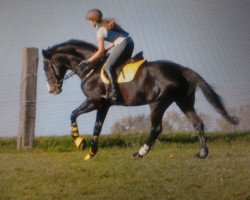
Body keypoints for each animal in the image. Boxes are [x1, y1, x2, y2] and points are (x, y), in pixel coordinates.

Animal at [41, 39, 238, 160]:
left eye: (45, 67)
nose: (52, 90)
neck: (91, 68)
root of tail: (181, 69)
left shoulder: (94, 101)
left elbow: (73, 114)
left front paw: (79, 142)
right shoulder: (103, 105)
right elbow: (97, 127)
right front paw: (91, 152)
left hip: (157, 102)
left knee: (156, 128)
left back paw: (140, 153)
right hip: (184, 101)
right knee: (197, 123)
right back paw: (203, 153)